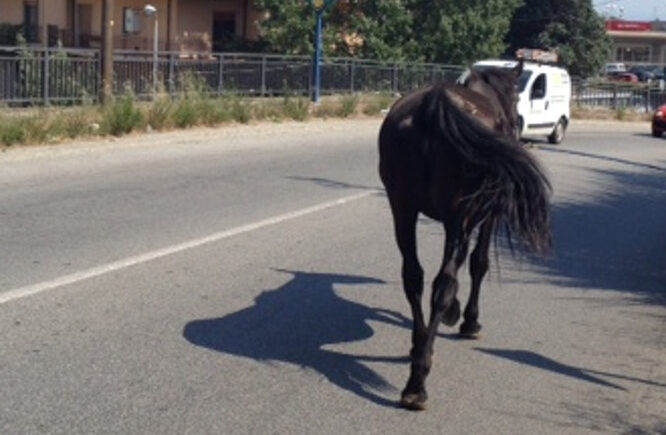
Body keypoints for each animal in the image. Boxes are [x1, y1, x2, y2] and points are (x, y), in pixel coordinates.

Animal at [378, 61, 552, 410]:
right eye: (516, 96)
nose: (517, 124)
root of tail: (432, 108)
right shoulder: (486, 215)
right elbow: (477, 263)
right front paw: (467, 318)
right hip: (458, 215)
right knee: (442, 283)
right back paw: (419, 379)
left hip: (402, 208)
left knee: (414, 278)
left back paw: (419, 349)